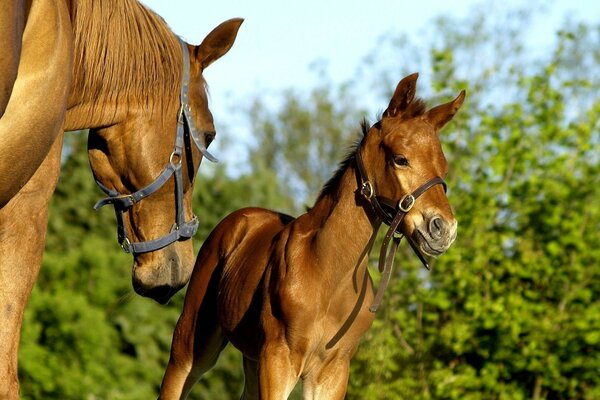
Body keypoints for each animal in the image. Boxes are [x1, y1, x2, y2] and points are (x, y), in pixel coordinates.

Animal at [158, 73, 464, 398]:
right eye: (400, 159)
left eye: (443, 167)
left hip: (251, 358)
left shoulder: (333, 370)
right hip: (191, 344)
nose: (443, 228)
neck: (328, 273)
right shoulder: (278, 359)